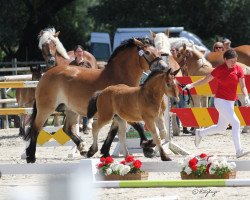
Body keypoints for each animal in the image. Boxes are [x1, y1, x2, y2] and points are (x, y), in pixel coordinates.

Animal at [23, 37, 170, 162]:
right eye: (147, 52)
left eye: (158, 52)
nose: (165, 68)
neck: (118, 75)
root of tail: (46, 74)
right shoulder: (123, 112)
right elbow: (138, 126)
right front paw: (148, 147)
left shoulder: (116, 114)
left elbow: (112, 132)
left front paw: (103, 151)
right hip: (46, 109)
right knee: (35, 128)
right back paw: (31, 156)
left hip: (71, 110)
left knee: (67, 128)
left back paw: (82, 147)